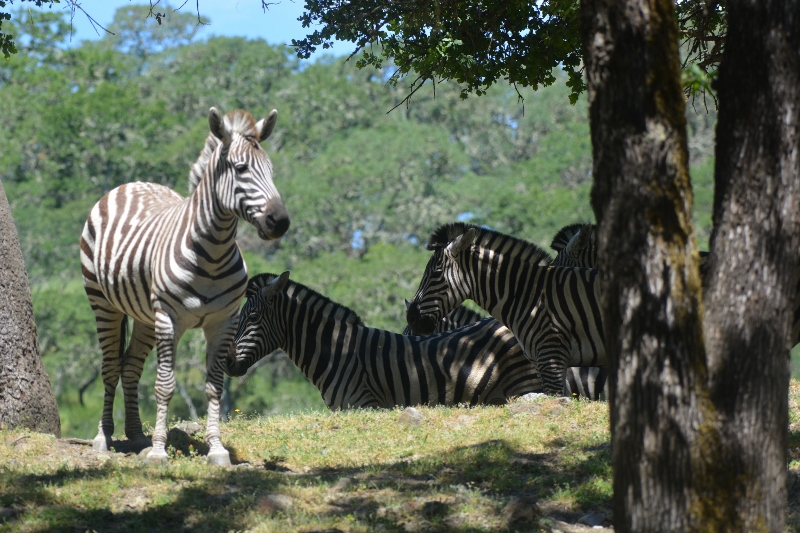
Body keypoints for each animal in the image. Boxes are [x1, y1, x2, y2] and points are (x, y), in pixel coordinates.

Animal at [80, 107, 288, 462]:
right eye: (241, 169)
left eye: (271, 170)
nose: (280, 222)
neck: (213, 253)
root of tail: (132, 183)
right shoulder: (169, 320)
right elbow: (165, 386)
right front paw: (159, 452)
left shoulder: (223, 323)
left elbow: (214, 387)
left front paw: (217, 450)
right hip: (103, 303)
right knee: (109, 367)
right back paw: (104, 436)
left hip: (145, 316)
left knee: (130, 366)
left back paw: (136, 435)